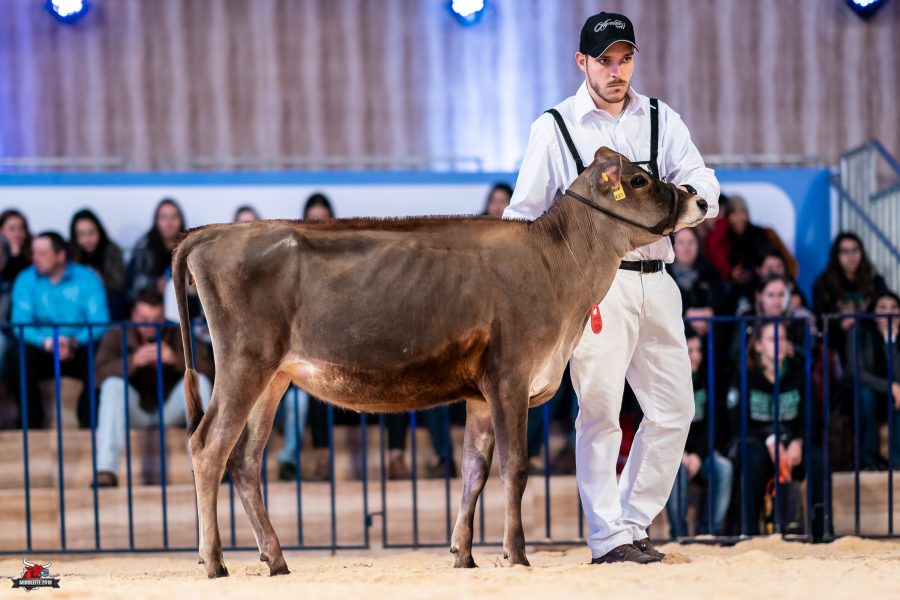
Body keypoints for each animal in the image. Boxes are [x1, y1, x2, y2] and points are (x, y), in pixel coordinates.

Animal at [173, 147, 708, 578]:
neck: (556, 264)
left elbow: (473, 471)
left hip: (273, 378)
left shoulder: (480, 395)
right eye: (638, 180)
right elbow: (514, 468)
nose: (699, 199)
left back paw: (276, 559)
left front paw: (463, 555)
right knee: (207, 447)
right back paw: (215, 562)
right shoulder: (510, 377)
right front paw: (517, 555)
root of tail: (213, 234)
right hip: (244, 364)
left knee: (244, 459)